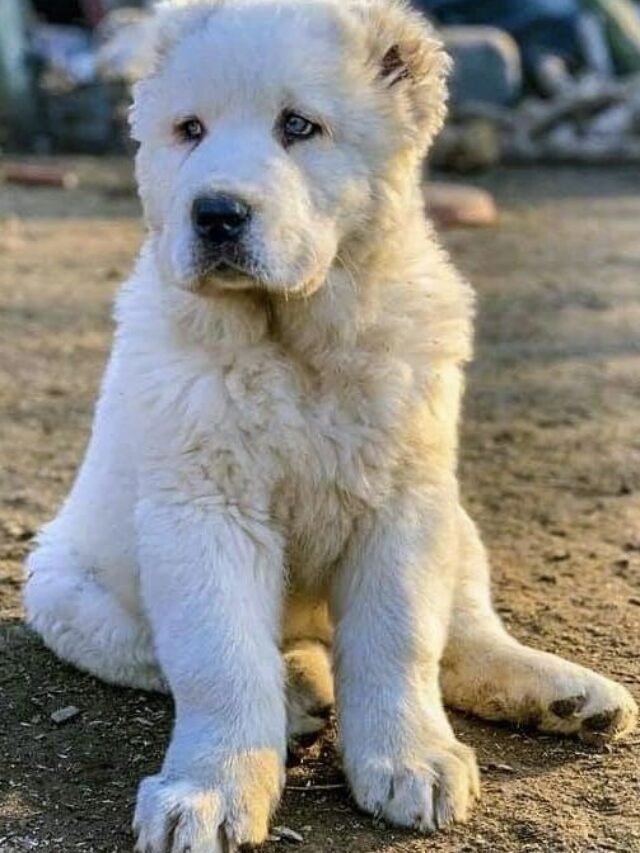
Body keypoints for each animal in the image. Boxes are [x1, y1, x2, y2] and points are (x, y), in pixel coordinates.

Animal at [22, 0, 636, 848]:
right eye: (189, 130)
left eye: (299, 126)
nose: (215, 213)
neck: (295, 341)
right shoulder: (204, 511)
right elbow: (219, 659)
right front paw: (208, 791)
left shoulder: (404, 500)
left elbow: (401, 640)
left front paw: (412, 761)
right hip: (63, 589)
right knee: (174, 650)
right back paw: (300, 689)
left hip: (456, 518)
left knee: (463, 634)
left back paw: (566, 695)